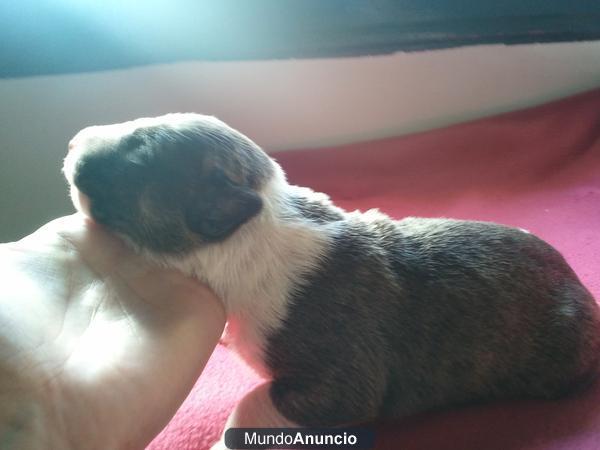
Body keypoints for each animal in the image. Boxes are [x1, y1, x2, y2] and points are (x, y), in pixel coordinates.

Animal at [63, 112, 596, 428]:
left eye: (140, 153)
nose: (72, 143)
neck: (252, 230)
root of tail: (577, 283)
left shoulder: (337, 382)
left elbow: (255, 401)